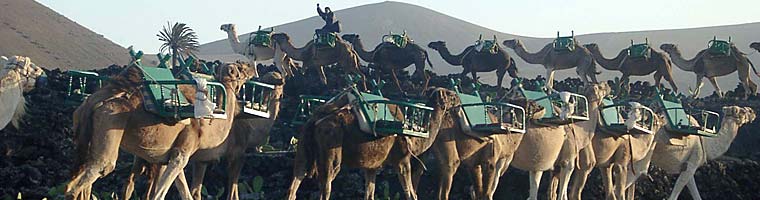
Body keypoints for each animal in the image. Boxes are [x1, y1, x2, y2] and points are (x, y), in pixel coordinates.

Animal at [65, 61, 255, 199]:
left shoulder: (171, 155)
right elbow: (159, 195)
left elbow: (184, 193)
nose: (252, 66)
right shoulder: (182, 153)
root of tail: (93, 101)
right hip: (109, 123)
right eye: (240, 68)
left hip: (85, 135)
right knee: (90, 175)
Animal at [120, 72, 286, 200]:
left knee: (131, 184)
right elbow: (232, 192)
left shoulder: (202, 160)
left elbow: (195, 191)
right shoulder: (237, 153)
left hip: (148, 155)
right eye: (273, 80)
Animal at [286, 87, 458, 200]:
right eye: (451, 95)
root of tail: (315, 119)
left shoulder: (372, 166)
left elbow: (370, 194)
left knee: (295, 181)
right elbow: (411, 194)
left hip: (303, 146)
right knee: (326, 186)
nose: (458, 99)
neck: (415, 138)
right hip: (331, 145)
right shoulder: (402, 160)